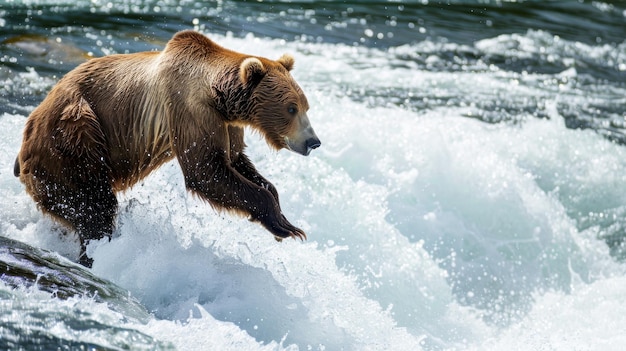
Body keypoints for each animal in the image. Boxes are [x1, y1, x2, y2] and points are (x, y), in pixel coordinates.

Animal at [14, 31, 320, 266]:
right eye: (291, 108)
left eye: (305, 106)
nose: (313, 141)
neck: (219, 97)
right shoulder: (190, 110)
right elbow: (206, 170)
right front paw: (287, 227)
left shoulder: (227, 125)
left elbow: (235, 161)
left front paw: (283, 220)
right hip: (73, 138)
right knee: (92, 203)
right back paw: (97, 253)